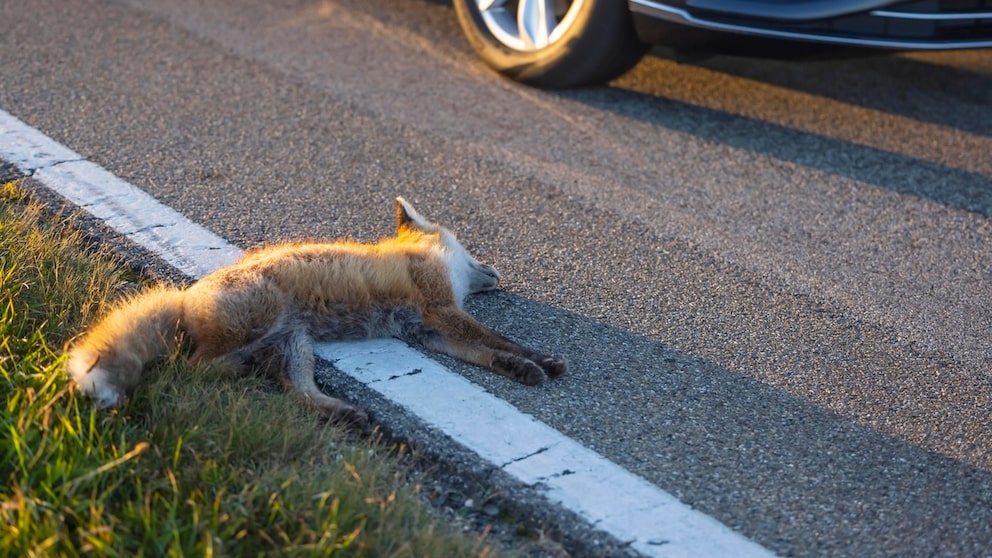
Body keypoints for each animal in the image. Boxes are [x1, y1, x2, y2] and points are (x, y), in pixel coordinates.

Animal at [66, 197, 566, 426]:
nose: (497, 272)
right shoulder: (439, 309)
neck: (426, 256)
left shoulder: (430, 330)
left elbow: (488, 354)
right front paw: (541, 360)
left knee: (299, 394)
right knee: (191, 367)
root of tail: (186, 294)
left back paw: (345, 413)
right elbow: (500, 340)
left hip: (294, 350)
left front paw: (522, 370)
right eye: (470, 249)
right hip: (263, 318)